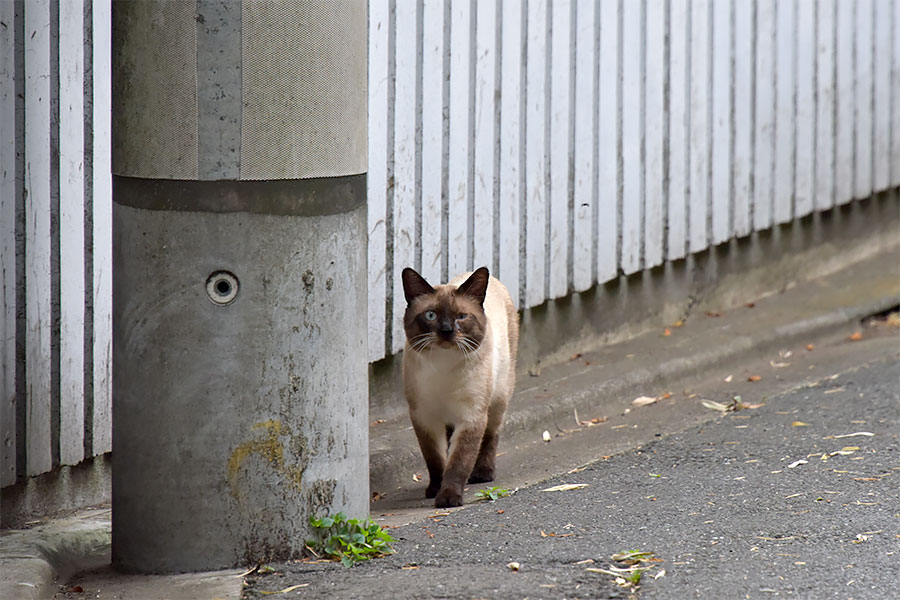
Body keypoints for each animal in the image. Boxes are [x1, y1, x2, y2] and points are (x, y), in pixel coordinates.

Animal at [402, 266, 520, 506]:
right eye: (431, 315)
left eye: (461, 316)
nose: (447, 330)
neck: (443, 367)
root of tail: (495, 280)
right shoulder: (424, 418)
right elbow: (436, 460)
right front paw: (435, 490)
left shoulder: (471, 417)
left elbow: (459, 463)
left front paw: (448, 498)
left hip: (498, 400)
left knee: (491, 435)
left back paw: (483, 474)